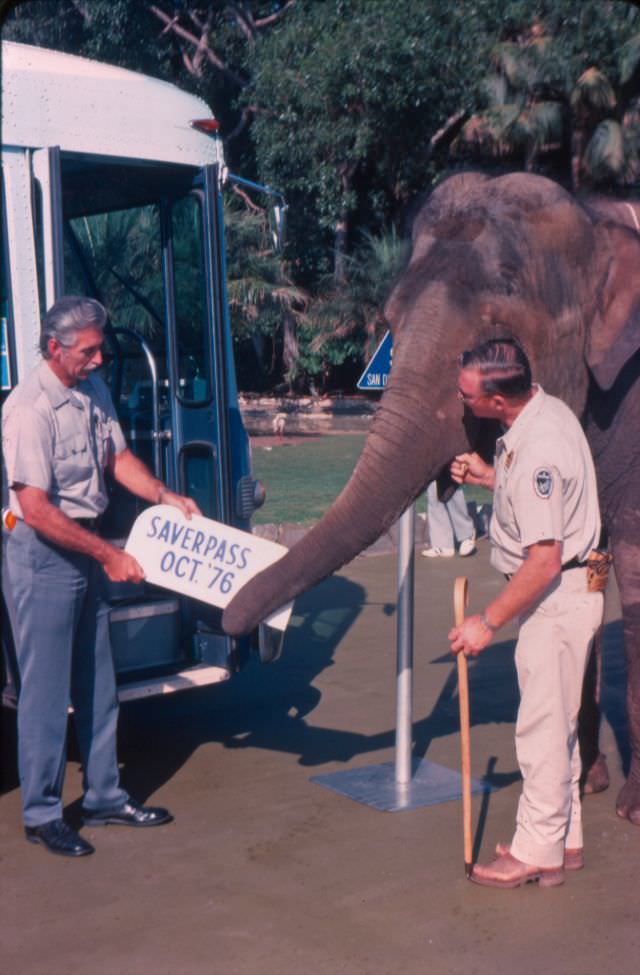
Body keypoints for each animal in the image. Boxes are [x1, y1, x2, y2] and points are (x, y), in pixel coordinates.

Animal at [224, 172, 640, 828]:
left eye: (497, 327)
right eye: (390, 315)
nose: (235, 625)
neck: (596, 219)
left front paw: (628, 810)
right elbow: (580, 564)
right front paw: (588, 783)